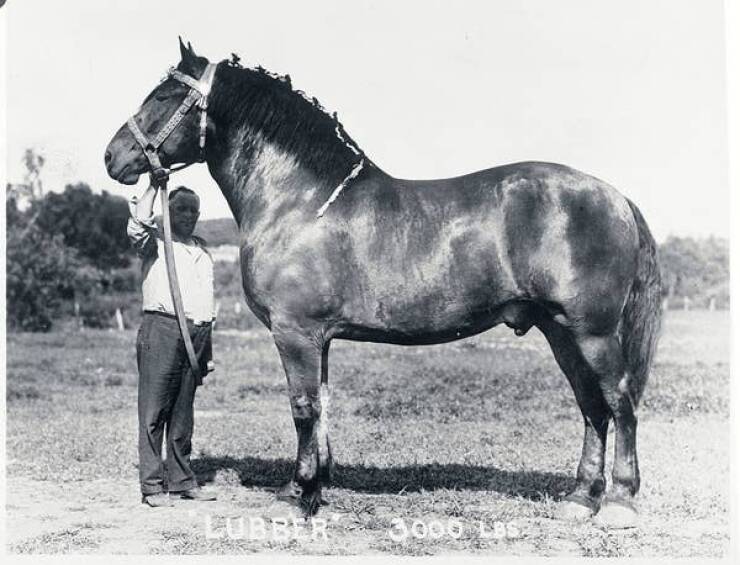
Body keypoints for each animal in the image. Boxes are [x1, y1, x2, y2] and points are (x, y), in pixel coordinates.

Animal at [105, 40, 664, 528]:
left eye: (163, 97)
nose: (113, 157)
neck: (299, 201)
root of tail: (615, 197)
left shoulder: (295, 333)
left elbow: (303, 408)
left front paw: (297, 496)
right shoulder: (319, 338)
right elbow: (322, 405)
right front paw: (313, 488)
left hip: (591, 332)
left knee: (619, 400)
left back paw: (619, 504)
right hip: (559, 331)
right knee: (591, 406)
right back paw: (580, 499)